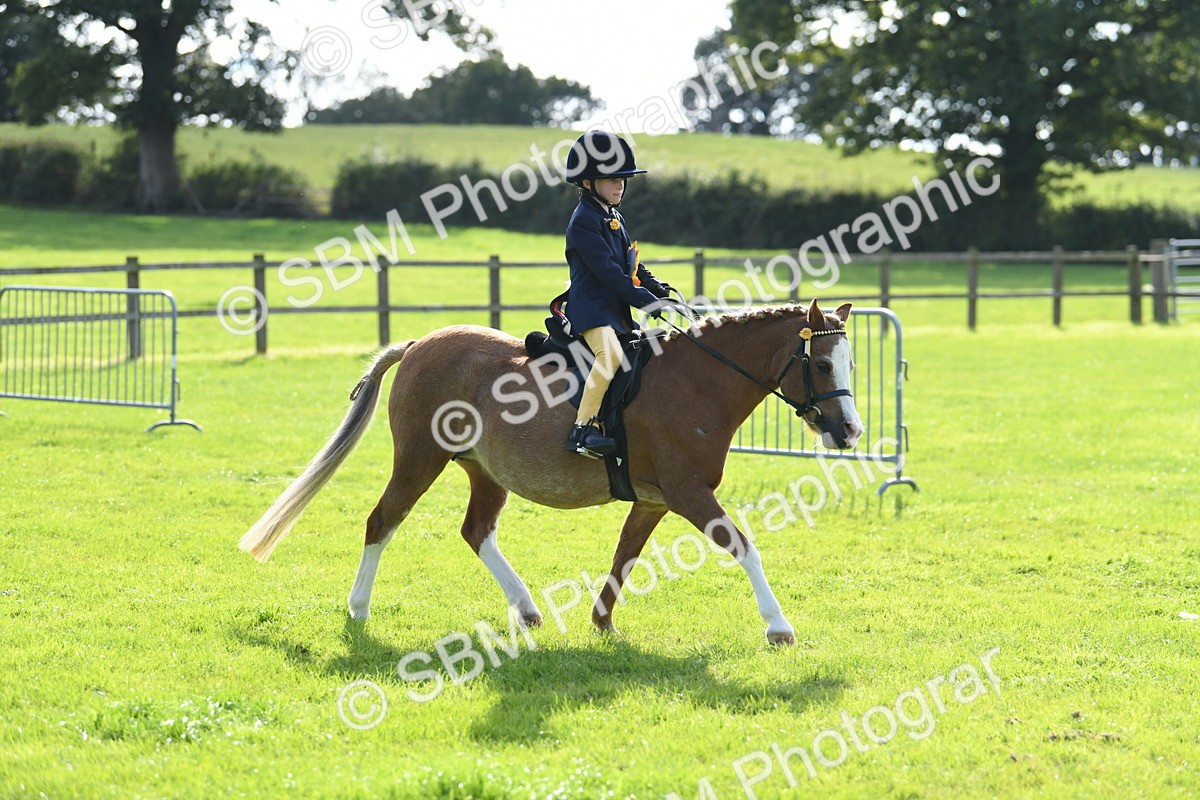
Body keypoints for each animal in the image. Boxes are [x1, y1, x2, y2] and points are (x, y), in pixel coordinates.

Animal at [238, 299, 864, 645]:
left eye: (850, 364)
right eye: (822, 364)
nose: (850, 432)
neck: (698, 379)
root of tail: (419, 344)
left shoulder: (654, 499)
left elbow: (625, 554)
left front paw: (602, 622)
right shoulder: (688, 493)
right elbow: (744, 546)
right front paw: (778, 626)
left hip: (483, 472)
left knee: (476, 531)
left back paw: (528, 609)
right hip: (419, 459)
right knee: (381, 522)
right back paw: (359, 609)